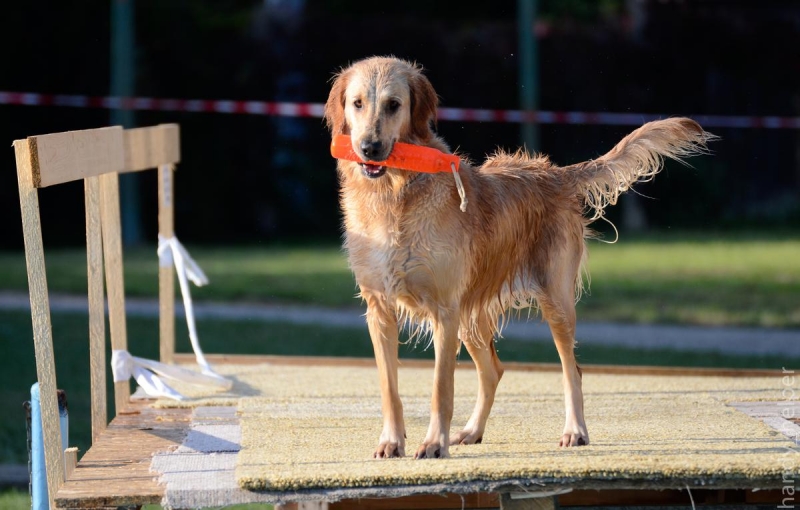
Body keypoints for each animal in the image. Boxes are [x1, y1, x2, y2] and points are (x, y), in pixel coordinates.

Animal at [324, 55, 712, 458]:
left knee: (572, 370)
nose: (369, 147)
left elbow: (440, 389)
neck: (395, 193)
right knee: (493, 371)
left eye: (393, 104)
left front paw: (433, 444)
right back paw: (472, 431)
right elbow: (389, 388)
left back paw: (575, 431)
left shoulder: (444, 310)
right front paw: (391, 441)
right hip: (472, 317)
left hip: (555, 304)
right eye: (357, 103)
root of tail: (555, 174)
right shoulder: (380, 309)